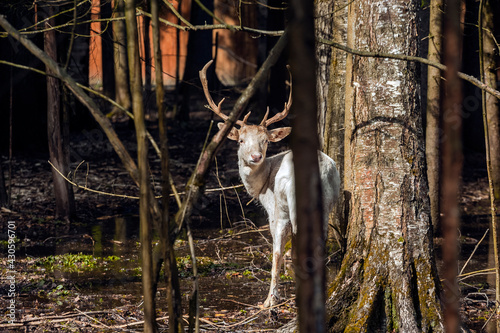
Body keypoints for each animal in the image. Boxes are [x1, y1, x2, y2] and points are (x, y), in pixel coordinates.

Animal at [199, 60, 340, 306]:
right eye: (241, 140)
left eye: (265, 141)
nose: (256, 157)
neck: (261, 187)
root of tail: (322, 172)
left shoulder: (274, 211)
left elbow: (277, 252)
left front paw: (271, 300)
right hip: (328, 203)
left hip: (290, 205)